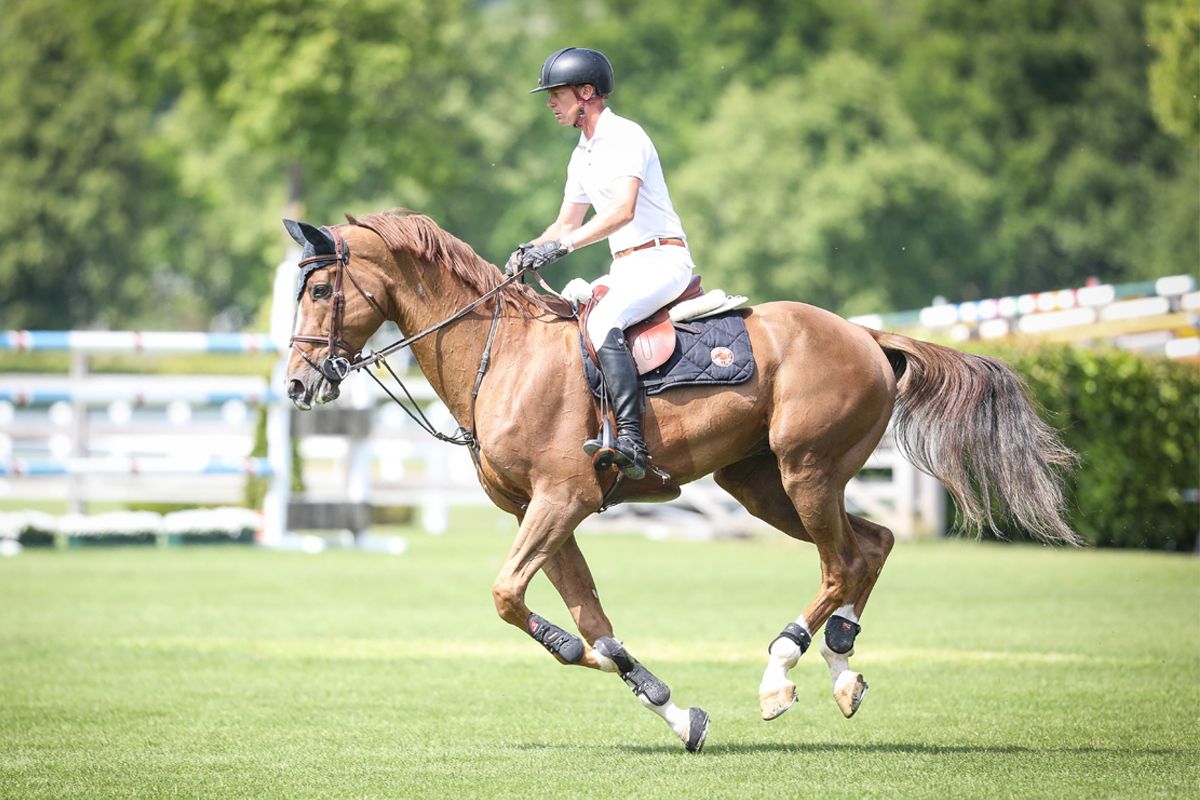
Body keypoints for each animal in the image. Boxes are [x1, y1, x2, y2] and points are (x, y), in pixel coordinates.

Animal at [283, 209, 1080, 753]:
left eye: (320, 289)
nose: (295, 383)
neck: (500, 354)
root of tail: (866, 335)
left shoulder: (563, 500)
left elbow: (511, 596)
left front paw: (582, 657)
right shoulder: (538, 511)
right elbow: (593, 623)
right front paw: (672, 710)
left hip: (807, 471)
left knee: (841, 562)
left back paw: (782, 670)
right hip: (759, 485)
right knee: (874, 543)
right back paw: (842, 665)